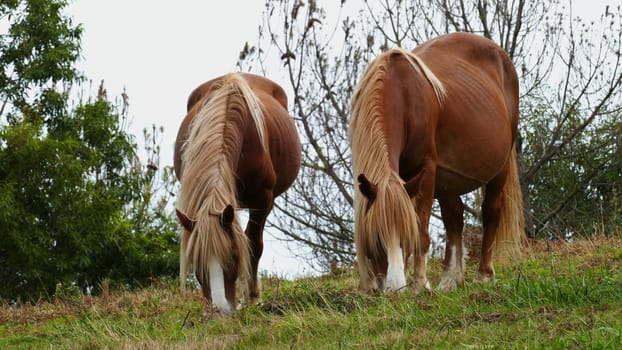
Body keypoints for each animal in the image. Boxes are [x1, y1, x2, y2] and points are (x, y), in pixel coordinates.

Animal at [176, 72, 302, 314]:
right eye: (196, 261)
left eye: (233, 257)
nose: (219, 311)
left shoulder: (263, 201)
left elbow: (253, 246)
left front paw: (252, 298)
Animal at [352, 32, 528, 292]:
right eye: (376, 236)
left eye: (405, 236)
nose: (395, 289)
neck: (401, 95)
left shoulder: (426, 169)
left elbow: (422, 232)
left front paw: (419, 285)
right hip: (447, 179)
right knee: (454, 217)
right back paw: (450, 279)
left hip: (500, 166)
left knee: (490, 211)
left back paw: (483, 274)